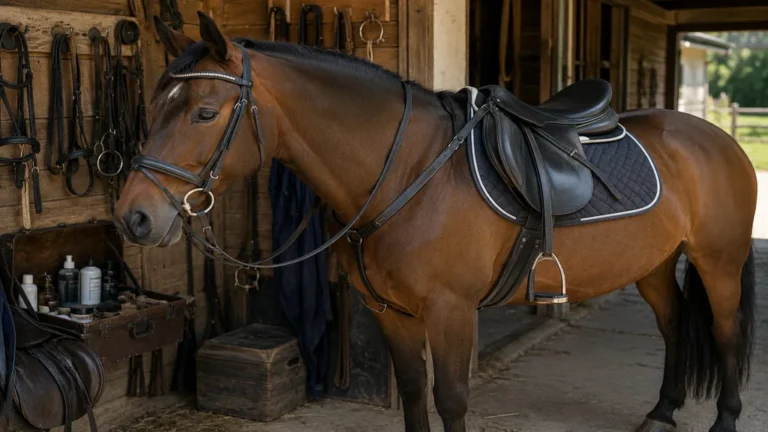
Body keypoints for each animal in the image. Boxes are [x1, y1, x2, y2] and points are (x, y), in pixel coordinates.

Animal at [115, 12, 757, 432]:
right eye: (155, 104)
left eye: (204, 112)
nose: (134, 217)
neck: (409, 173)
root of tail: (717, 138)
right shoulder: (391, 313)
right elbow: (413, 394)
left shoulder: (450, 311)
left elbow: (449, 399)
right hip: (654, 264)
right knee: (673, 327)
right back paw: (662, 411)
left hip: (718, 263)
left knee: (726, 333)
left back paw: (724, 420)